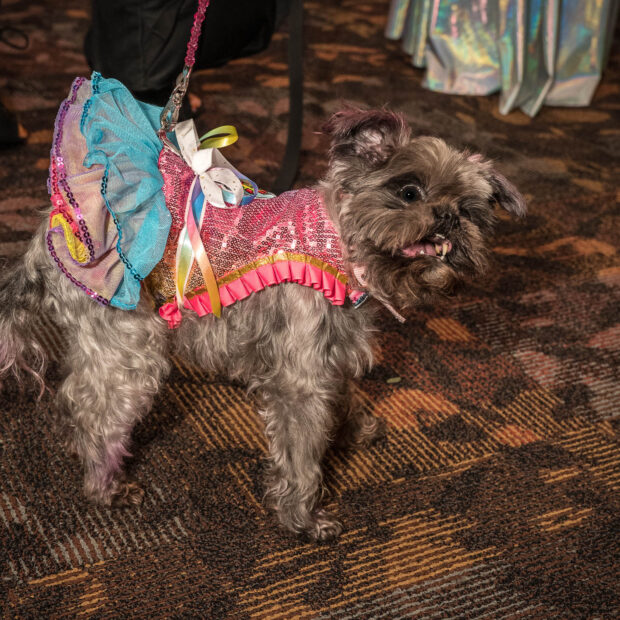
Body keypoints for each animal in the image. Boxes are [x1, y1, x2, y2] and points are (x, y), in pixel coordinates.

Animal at [0, 109, 524, 540]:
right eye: (409, 191)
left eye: (471, 211)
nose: (449, 218)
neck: (340, 245)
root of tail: (48, 231)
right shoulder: (298, 381)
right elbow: (301, 454)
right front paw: (302, 518)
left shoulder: (332, 350)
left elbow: (344, 392)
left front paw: (355, 426)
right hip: (129, 346)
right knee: (91, 409)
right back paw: (104, 482)